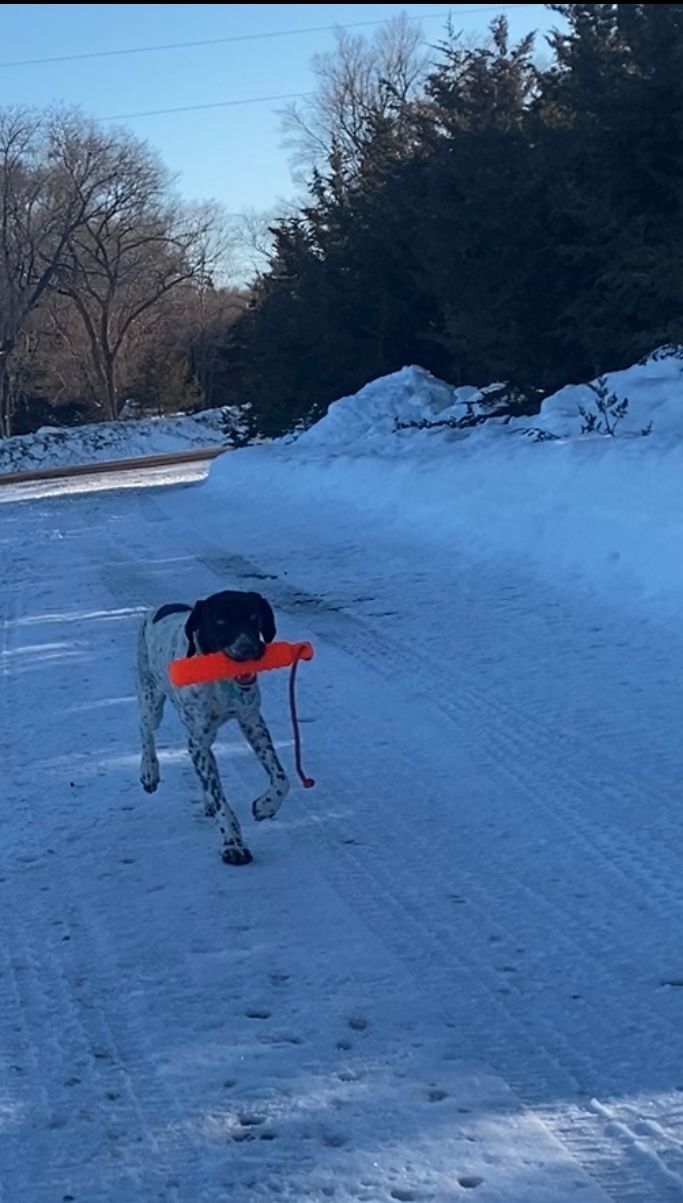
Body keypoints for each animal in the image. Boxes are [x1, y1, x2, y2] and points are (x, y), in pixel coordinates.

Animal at [135, 590, 289, 865]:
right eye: (220, 622)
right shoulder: (197, 739)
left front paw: (266, 805)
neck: (221, 679)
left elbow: (281, 778)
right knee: (145, 730)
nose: (250, 650)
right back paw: (149, 771)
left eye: (253, 616)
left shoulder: (252, 721)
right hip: (152, 700)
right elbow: (221, 800)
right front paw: (234, 843)